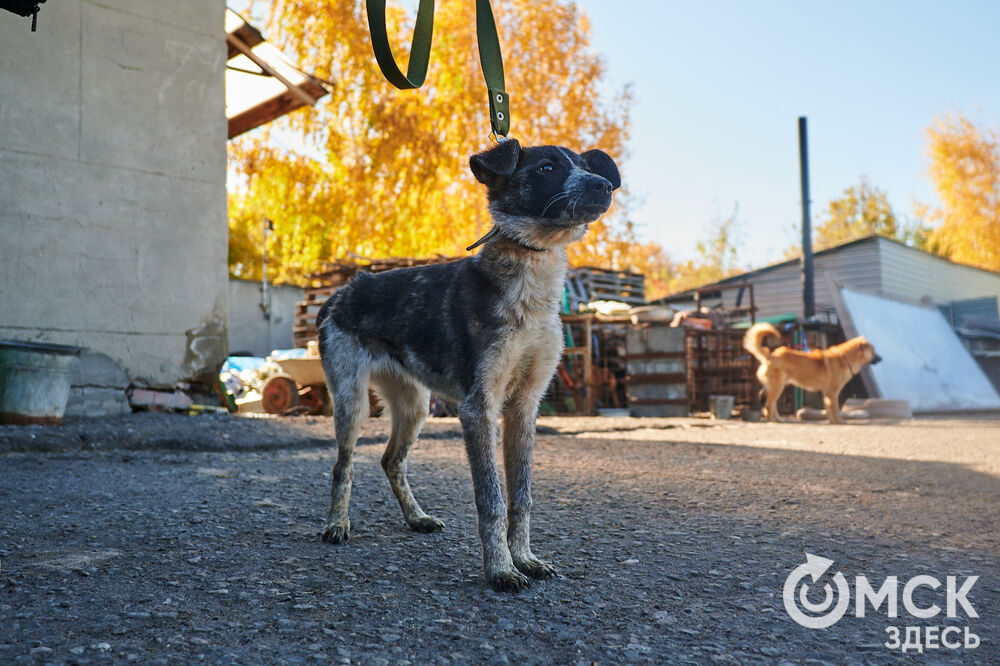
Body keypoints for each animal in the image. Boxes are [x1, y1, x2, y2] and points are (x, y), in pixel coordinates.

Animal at [316, 137, 620, 588]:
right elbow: (491, 499)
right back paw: (337, 523)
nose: (604, 185)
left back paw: (417, 517)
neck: (531, 275)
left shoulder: (524, 407)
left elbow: (521, 497)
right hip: (350, 400)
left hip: (414, 404)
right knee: (343, 466)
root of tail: (341, 292)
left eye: (586, 166)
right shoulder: (479, 408)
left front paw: (524, 558)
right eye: (547, 168)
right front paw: (500, 569)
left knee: (391, 460)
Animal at [744, 320, 884, 422]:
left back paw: (779, 419)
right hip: (777, 386)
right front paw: (840, 421)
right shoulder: (833, 393)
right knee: (769, 405)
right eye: (873, 351)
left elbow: (829, 410)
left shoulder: (827, 394)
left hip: (778, 386)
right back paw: (772, 420)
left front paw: (832, 422)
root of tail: (771, 355)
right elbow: (835, 410)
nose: (881, 358)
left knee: (769, 403)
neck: (845, 358)